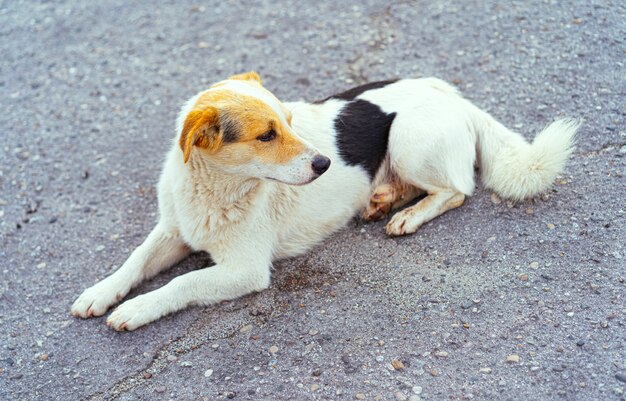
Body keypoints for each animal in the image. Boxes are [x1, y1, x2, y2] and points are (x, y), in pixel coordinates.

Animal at [70, 71, 576, 328]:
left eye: (289, 123)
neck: (215, 188)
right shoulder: (173, 229)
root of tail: (454, 95)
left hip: (410, 141)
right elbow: (134, 261)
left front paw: (136, 309)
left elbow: (181, 284)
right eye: (267, 135)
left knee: (457, 190)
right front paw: (101, 293)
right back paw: (382, 199)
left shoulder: (244, 270)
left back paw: (409, 215)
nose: (324, 164)